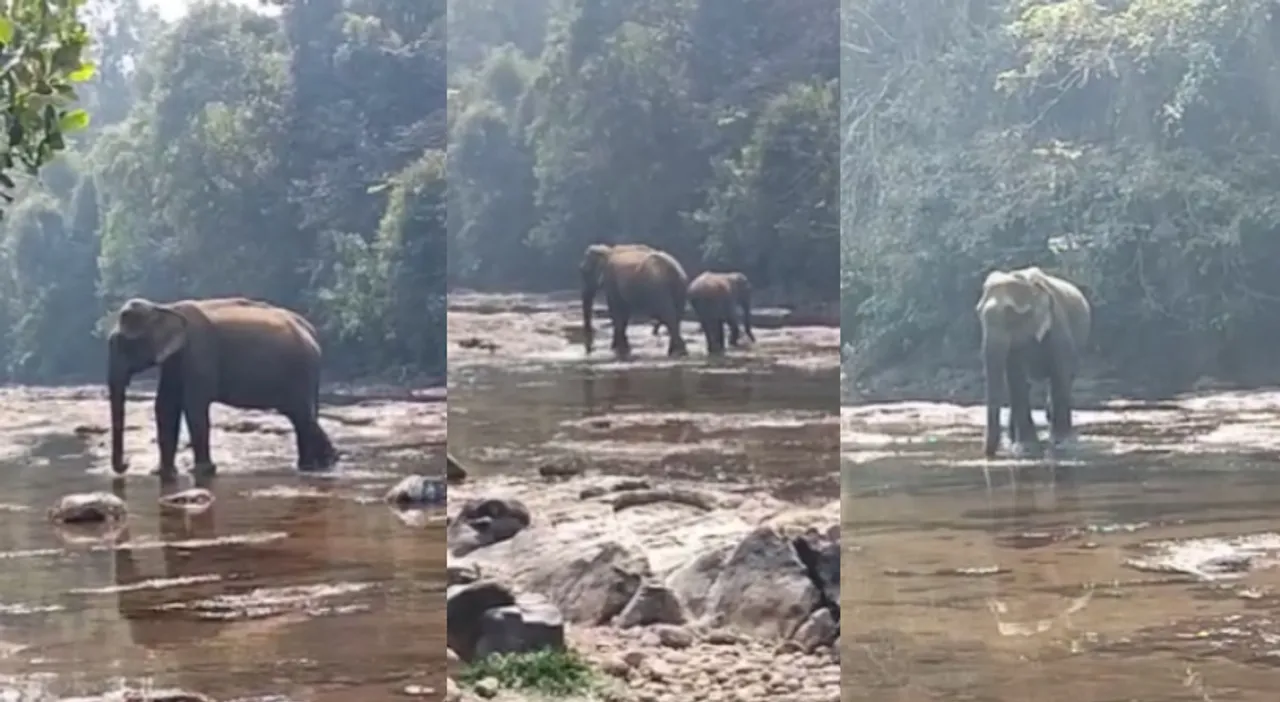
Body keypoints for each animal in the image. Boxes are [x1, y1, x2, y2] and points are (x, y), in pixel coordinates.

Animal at [107, 296, 337, 477]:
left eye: (123, 344)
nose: (126, 465)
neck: (164, 307)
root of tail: (312, 333)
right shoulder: (174, 360)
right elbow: (165, 405)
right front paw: (161, 472)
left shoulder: (199, 354)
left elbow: (194, 406)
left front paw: (201, 471)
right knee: (302, 417)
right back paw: (315, 465)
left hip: (301, 370)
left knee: (302, 415)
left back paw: (324, 463)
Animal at [975, 266, 1091, 458]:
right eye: (979, 314)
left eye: (1011, 314)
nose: (990, 454)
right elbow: (1016, 380)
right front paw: (1025, 447)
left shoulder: (1058, 327)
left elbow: (1060, 374)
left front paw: (1060, 442)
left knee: (1065, 381)